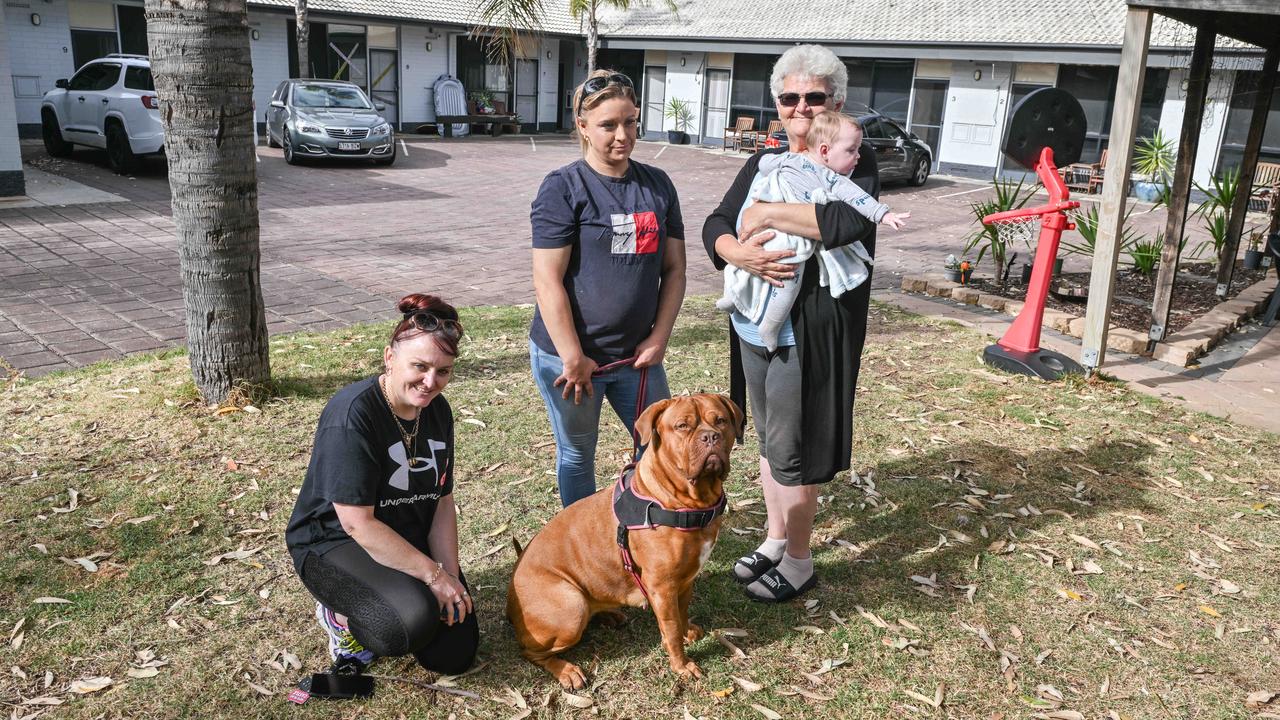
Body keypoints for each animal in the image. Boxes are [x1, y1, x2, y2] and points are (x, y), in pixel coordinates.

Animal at [501, 392, 737, 691]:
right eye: (683, 426)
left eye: (721, 420)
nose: (710, 437)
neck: (686, 501)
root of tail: (510, 597)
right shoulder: (662, 587)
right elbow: (671, 627)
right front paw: (682, 665)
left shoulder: (685, 580)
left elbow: (681, 614)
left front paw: (687, 633)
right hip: (571, 607)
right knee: (530, 651)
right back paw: (566, 670)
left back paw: (608, 615)